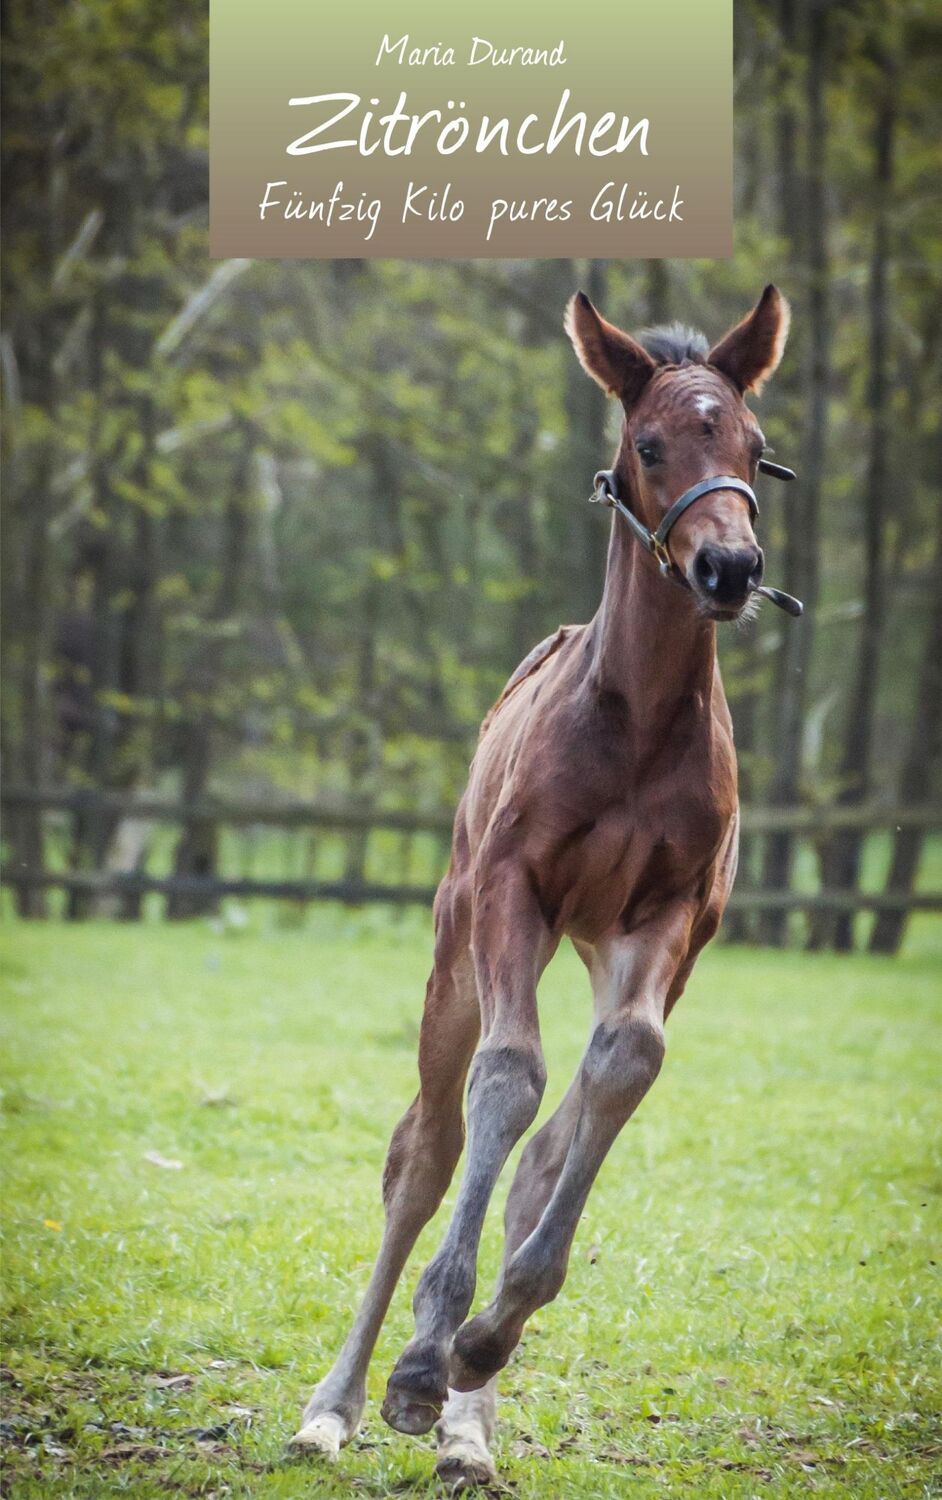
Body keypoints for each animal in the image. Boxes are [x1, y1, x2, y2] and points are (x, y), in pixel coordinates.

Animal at [294, 283, 792, 1488]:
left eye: (757, 445)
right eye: (650, 445)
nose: (731, 572)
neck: (638, 721)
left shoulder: (670, 919)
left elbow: (619, 1069)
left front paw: (477, 1343)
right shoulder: (513, 894)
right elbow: (507, 1081)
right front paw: (417, 1365)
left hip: (606, 942)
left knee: (552, 1140)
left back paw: (469, 1427)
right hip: (453, 953)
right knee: (425, 1150)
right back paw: (338, 1403)